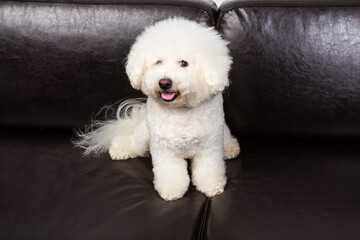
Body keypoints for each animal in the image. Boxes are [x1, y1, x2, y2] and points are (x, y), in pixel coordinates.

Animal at [75, 17, 239, 201]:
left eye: (184, 63)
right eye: (158, 62)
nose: (164, 83)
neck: (180, 112)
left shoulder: (209, 147)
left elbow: (208, 169)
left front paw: (212, 186)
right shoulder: (164, 149)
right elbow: (170, 172)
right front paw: (171, 190)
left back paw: (230, 147)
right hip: (144, 136)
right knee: (134, 143)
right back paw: (120, 148)